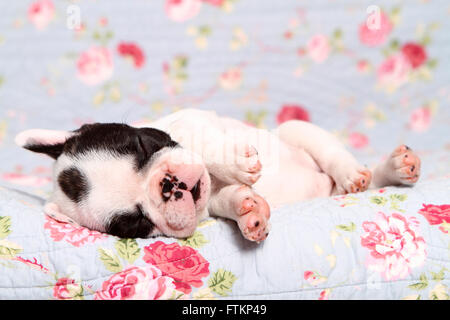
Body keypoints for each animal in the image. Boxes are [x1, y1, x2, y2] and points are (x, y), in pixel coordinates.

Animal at [14, 109, 422, 242]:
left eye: (142, 144)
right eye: (136, 222)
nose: (169, 185)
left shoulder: (193, 122)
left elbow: (203, 147)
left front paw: (235, 162)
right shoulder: (209, 205)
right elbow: (230, 200)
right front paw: (248, 210)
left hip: (295, 130)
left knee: (337, 157)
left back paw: (367, 171)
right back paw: (395, 170)